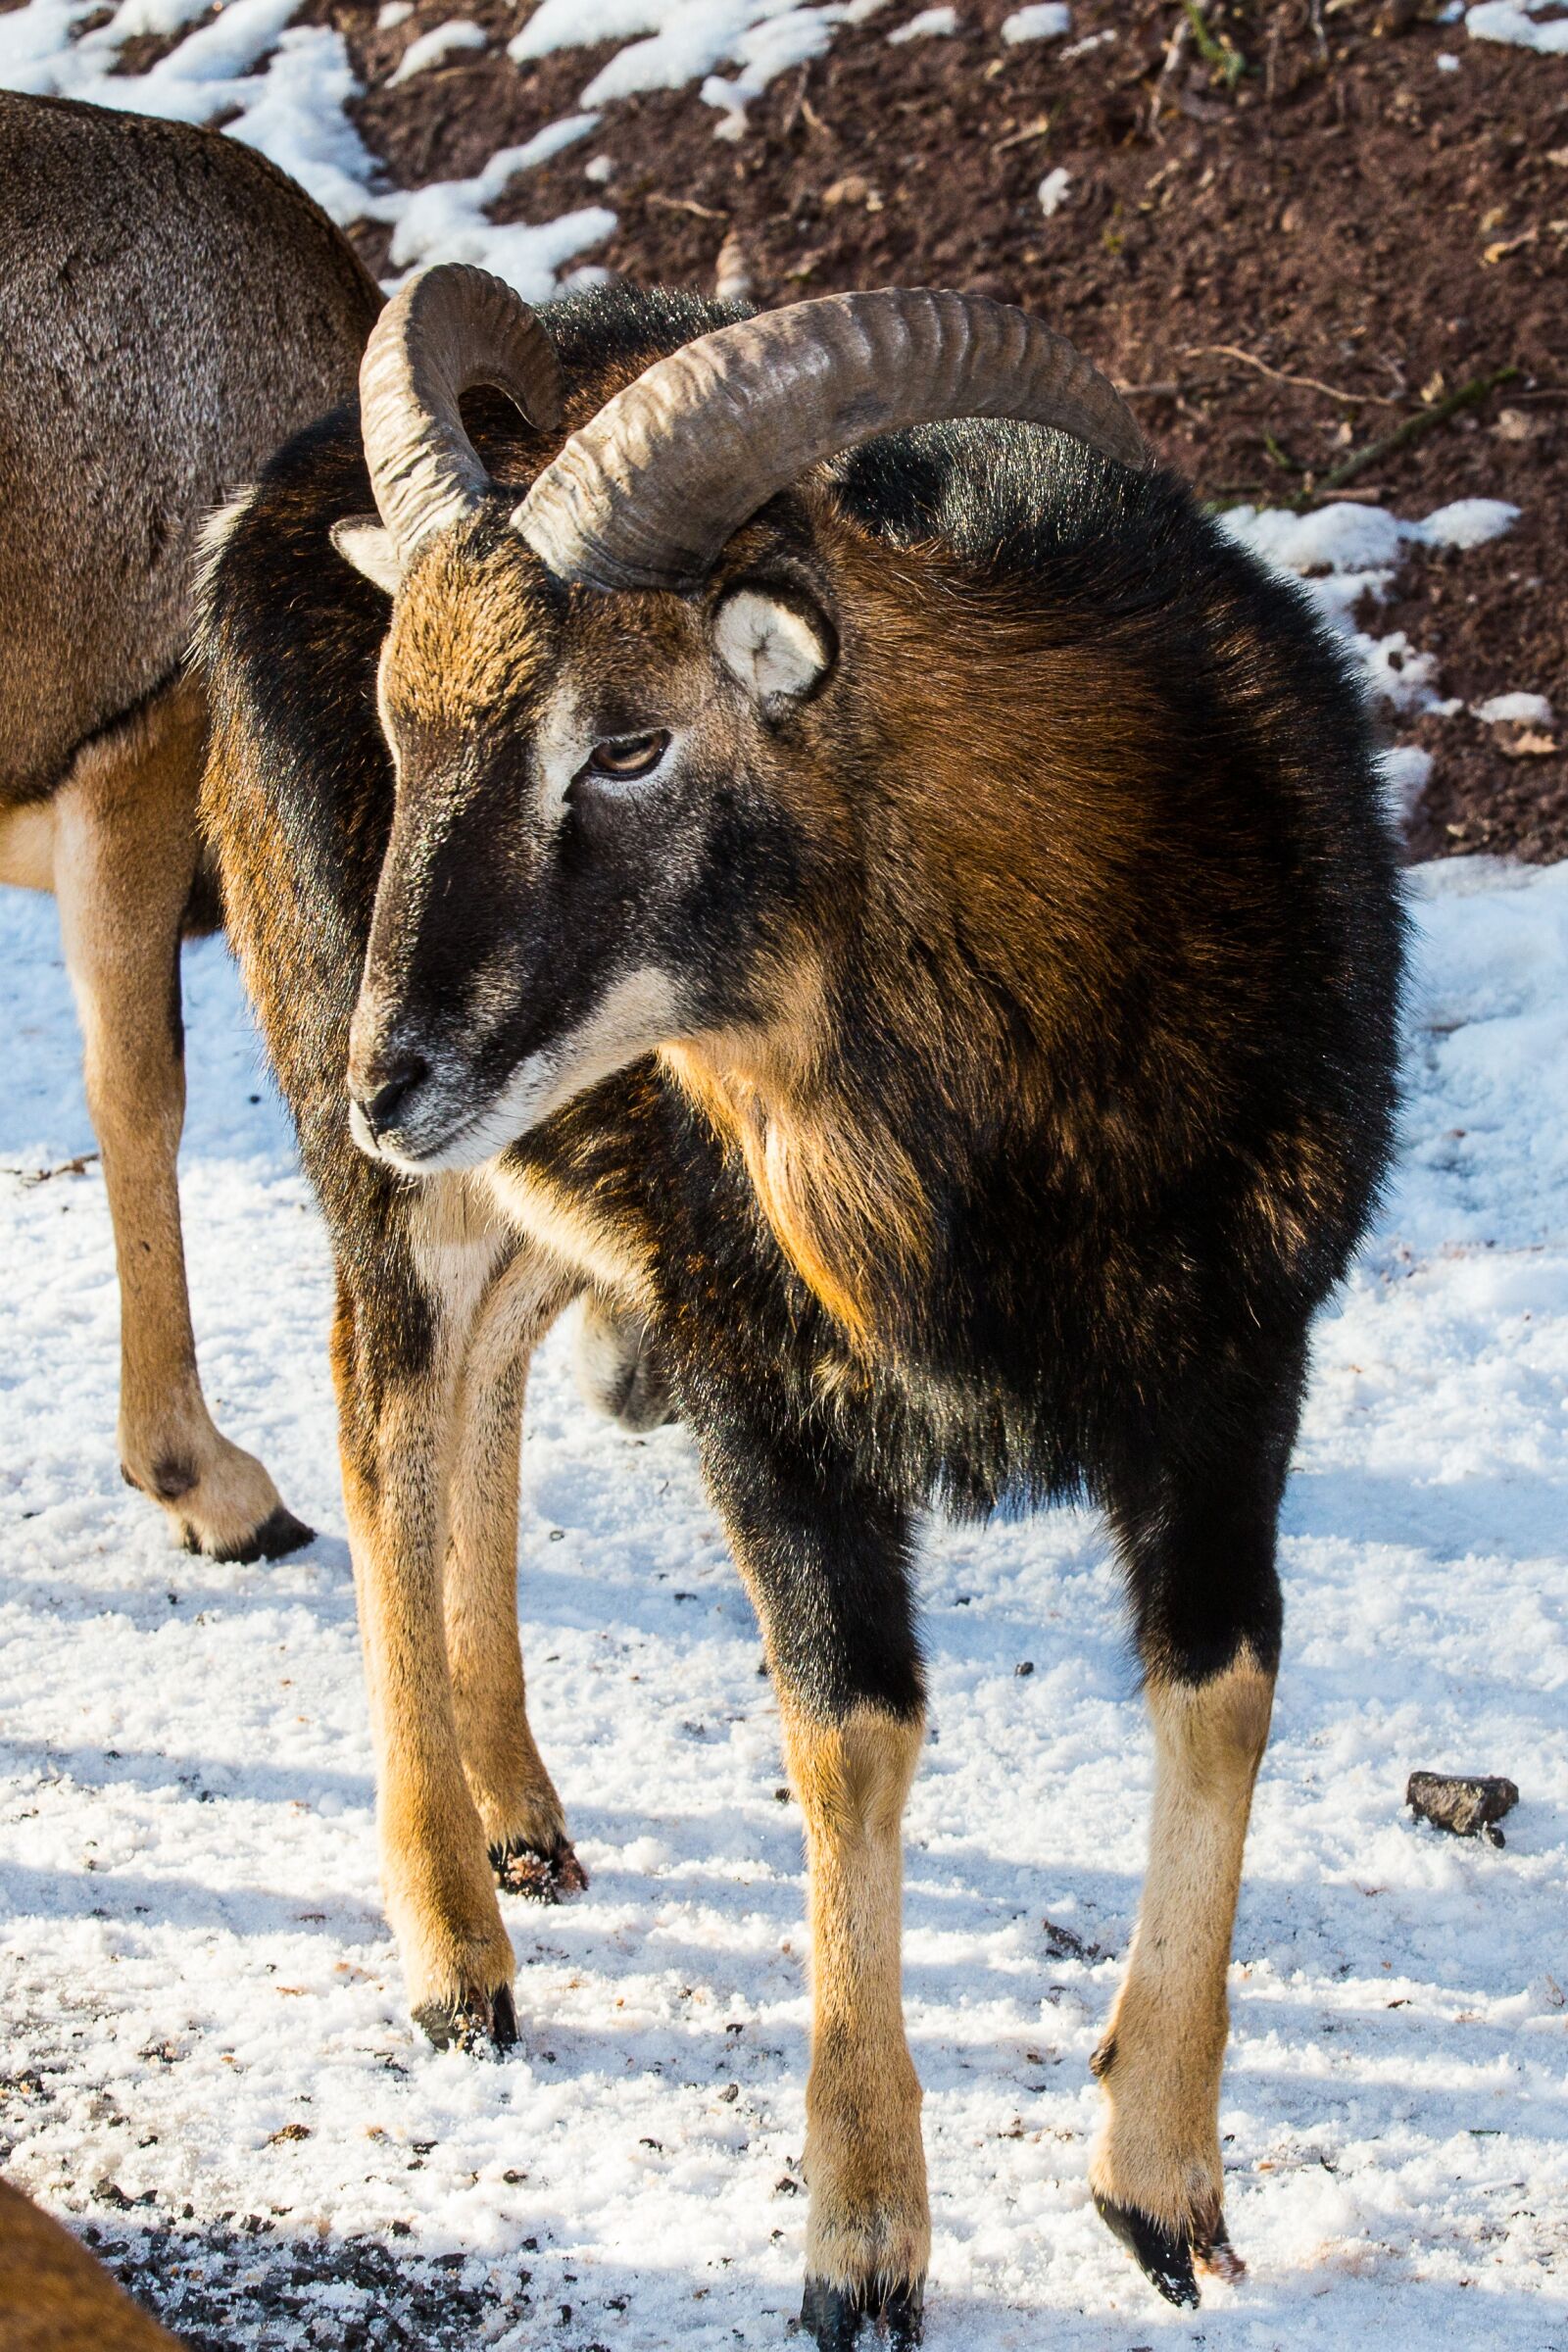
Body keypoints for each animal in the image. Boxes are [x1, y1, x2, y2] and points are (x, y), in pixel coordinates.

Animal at [196, 264, 1404, 2345]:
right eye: (401, 719)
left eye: (627, 744)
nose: (390, 1073)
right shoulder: (766, 1388)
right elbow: (852, 1735)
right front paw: (861, 2245)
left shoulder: (1238, 1369)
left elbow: (1224, 1693)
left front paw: (1161, 2191)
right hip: (397, 1184)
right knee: (386, 1426)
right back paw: (457, 1952)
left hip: (539, 1175)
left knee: (488, 1380)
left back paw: (524, 1812)